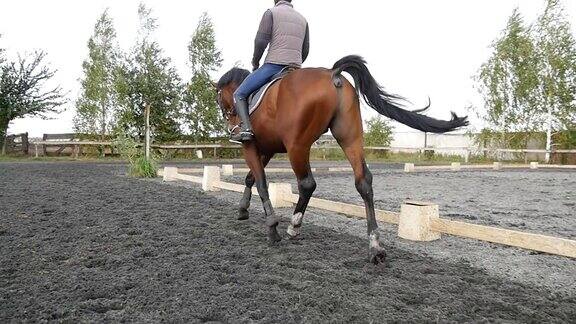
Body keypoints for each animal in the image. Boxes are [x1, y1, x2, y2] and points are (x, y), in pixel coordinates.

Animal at [216, 55, 468, 264]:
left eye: (219, 98)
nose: (230, 122)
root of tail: (332, 74)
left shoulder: (250, 146)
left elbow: (261, 183)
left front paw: (271, 229)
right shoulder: (266, 149)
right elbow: (250, 179)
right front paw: (243, 210)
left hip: (298, 146)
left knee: (307, 183)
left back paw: (293, 228)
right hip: (350, 137)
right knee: (363, 181)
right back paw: (375, 248)